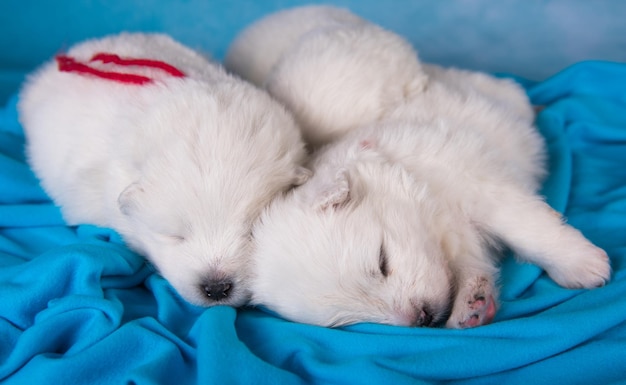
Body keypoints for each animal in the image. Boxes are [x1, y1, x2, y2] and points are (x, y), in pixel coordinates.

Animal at [225, 6, 608, 328]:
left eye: (382, 262)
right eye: (350, 321)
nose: (421, 318)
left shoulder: (478, 183)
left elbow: (529, 229)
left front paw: (584, 265)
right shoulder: (462, 239)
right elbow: (472, 263)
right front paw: (472, 304)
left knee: (510, 91)